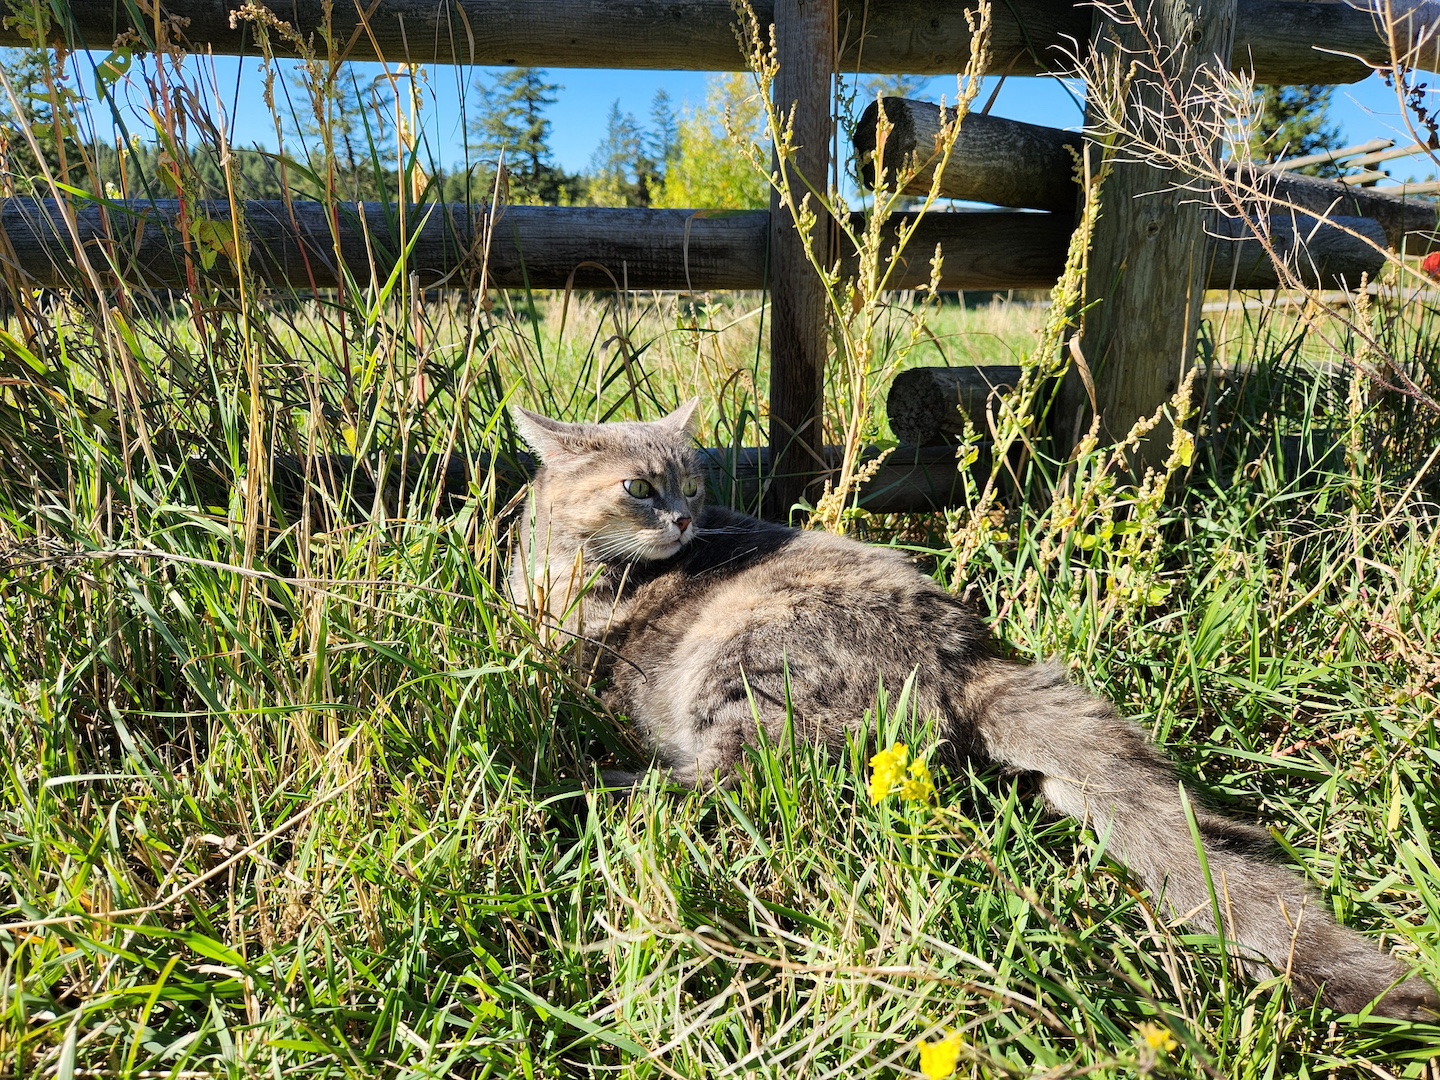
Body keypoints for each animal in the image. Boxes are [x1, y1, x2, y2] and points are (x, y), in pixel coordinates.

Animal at [509, 400, 1440, 1025]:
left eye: (695, 486)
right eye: (639, 486)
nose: (684, 519)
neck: (562, 568)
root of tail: (967, 650)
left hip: (746, 670)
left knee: (733, 783)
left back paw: (583, 787)